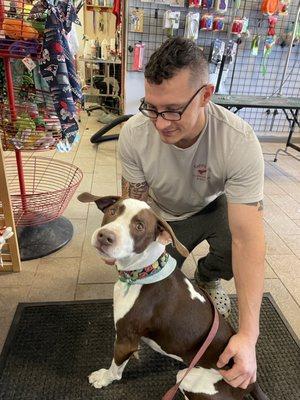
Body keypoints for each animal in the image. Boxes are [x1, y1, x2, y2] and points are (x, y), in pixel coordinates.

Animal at [78, 191, 268, 400]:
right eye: (112, 211)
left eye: (139, 226)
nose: (105, 236)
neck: (146, 271)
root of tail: (250, 384)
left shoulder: (126, 340)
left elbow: (115, 368)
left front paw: (103, 378)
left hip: (188, 379)